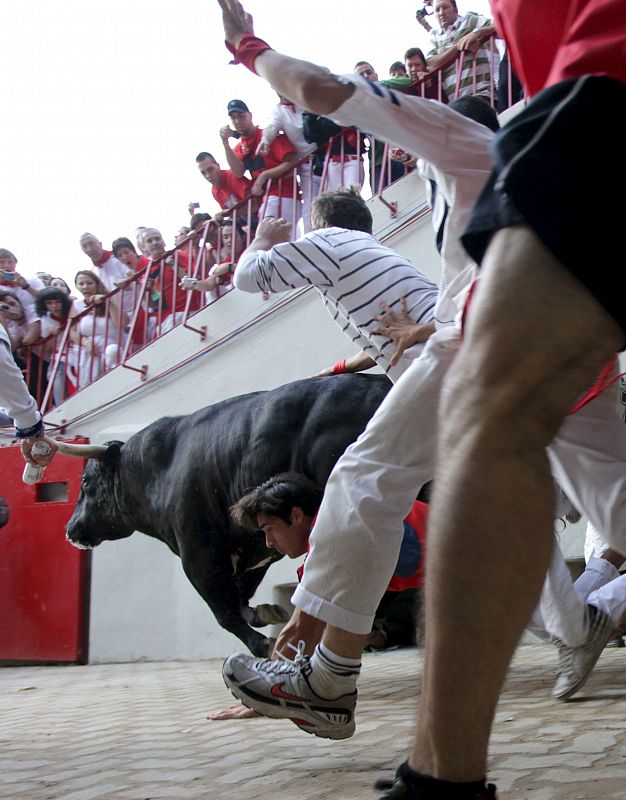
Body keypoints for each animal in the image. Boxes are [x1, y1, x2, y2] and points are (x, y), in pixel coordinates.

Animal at [67, 376, 390, 656]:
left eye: (85, 481)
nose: (71, 530)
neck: (158, 471)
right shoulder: (255, 552)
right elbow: (241, 598)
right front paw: (268, 612)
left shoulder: (198, 555)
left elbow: (225, 611)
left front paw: (263, 644)